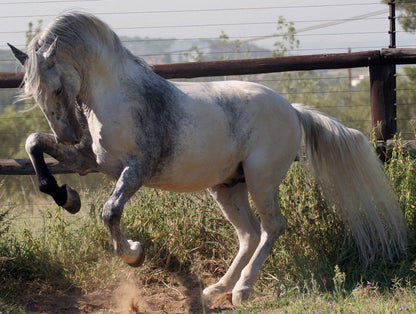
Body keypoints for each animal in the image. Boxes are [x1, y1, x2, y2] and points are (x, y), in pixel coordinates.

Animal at [8, 11, 406, 304]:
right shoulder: (88, 161)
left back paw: (242, 291)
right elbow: (33, 143)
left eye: (56, 88)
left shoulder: (135, 169)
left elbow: (110, 211)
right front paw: (66, 197)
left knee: (272, 227)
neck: (116, 95)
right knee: (249, 234)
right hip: (227, 186)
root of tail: (294, 111)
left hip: (261, 179)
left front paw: (134, 254)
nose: (70, 135)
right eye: (33, 92)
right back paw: (216, 289)